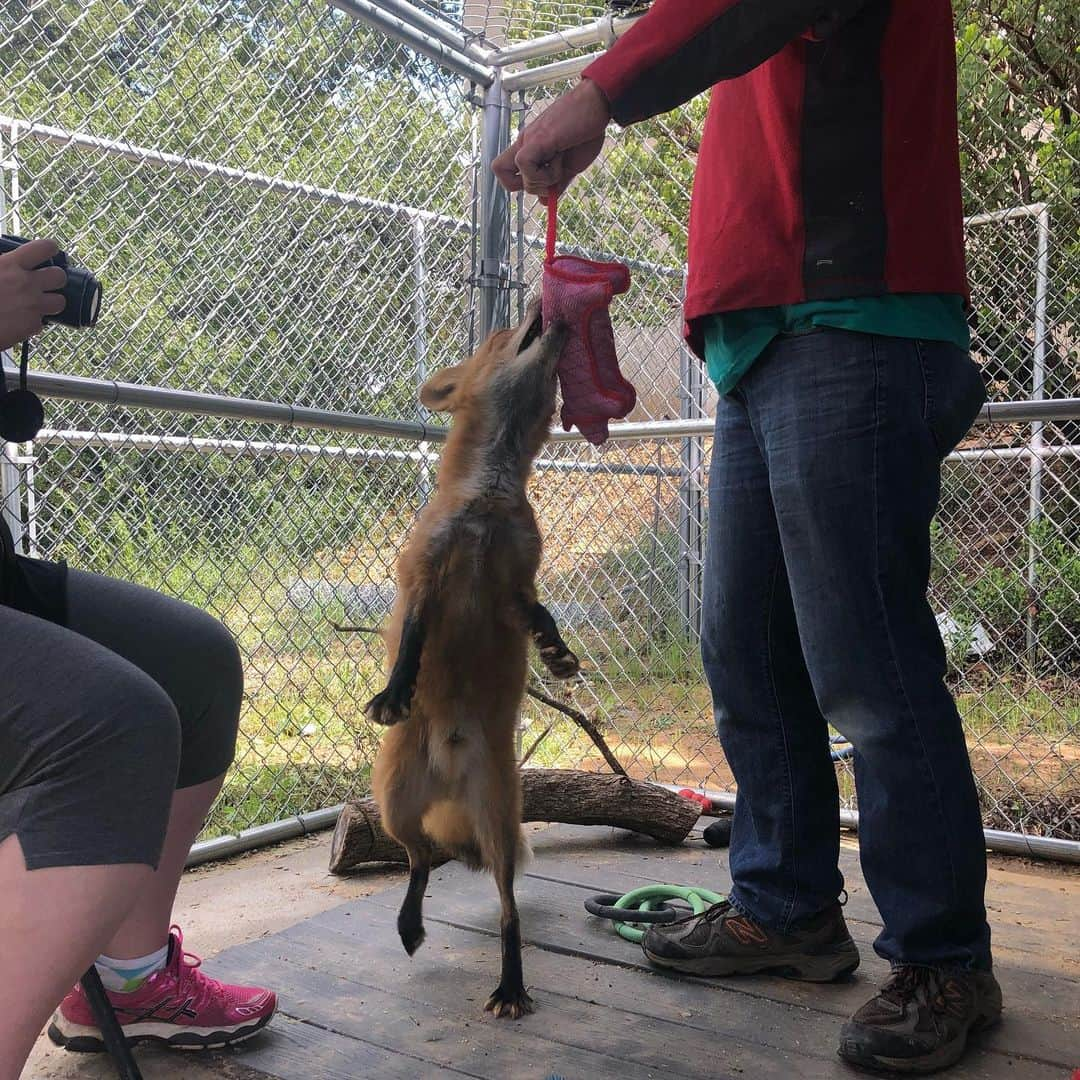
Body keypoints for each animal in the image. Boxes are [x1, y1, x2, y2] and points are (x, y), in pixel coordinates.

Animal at [365, 298, 583, 1019]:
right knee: (418, 860)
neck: (486, 504)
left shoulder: (515, 586)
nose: (550, 308)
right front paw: (394, 694)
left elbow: (542, 617)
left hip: (498, 824)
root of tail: (452, 776)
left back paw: (510, 986)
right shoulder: (424, 578)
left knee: (506, 908)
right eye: (502, 335)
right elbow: (411, 643)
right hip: (393, 804)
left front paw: (558, 655)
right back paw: (409, 925)